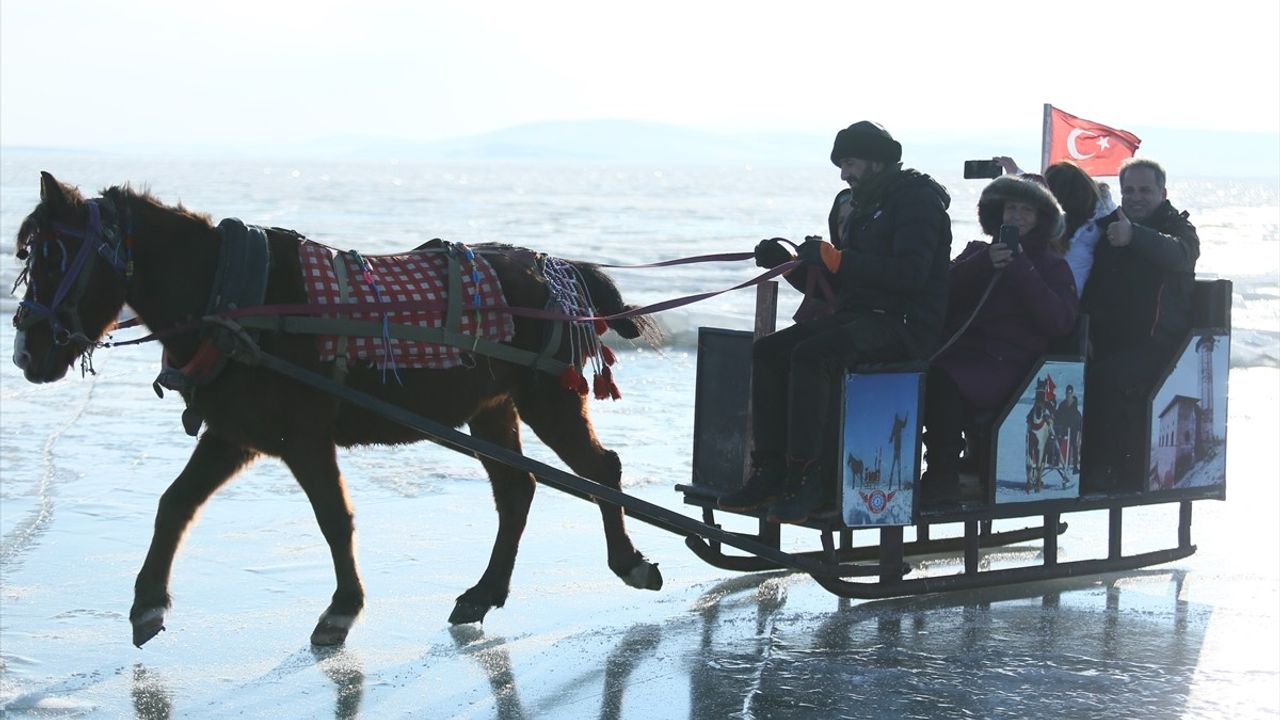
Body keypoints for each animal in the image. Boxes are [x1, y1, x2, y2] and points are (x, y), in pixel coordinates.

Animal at [10, 172, 665, 645]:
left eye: (53, 257)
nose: (25, 352)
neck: (232, 295)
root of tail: (558, 267)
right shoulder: (234, 434)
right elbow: (175, 505)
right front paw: (148, 603)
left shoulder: (301, 437)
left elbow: (333, 517)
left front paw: (342, 610)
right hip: (491, 407)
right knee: (518, 489)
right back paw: (482, 594)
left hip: (547, 397)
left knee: (599, 472)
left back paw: (629, 563)